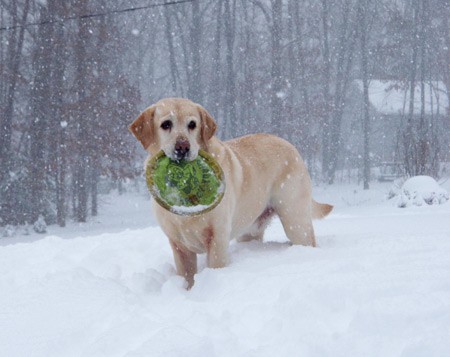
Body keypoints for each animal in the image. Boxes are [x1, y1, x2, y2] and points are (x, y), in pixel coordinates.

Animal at [128, 97, 332, 286]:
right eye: (166, 124)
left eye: (192, 124)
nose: (183, 147)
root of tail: (293, 147)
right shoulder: (178, 244)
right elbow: (187, 276)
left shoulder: (217, 237)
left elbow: (215, 265)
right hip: (250, 230)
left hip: (295, 222)